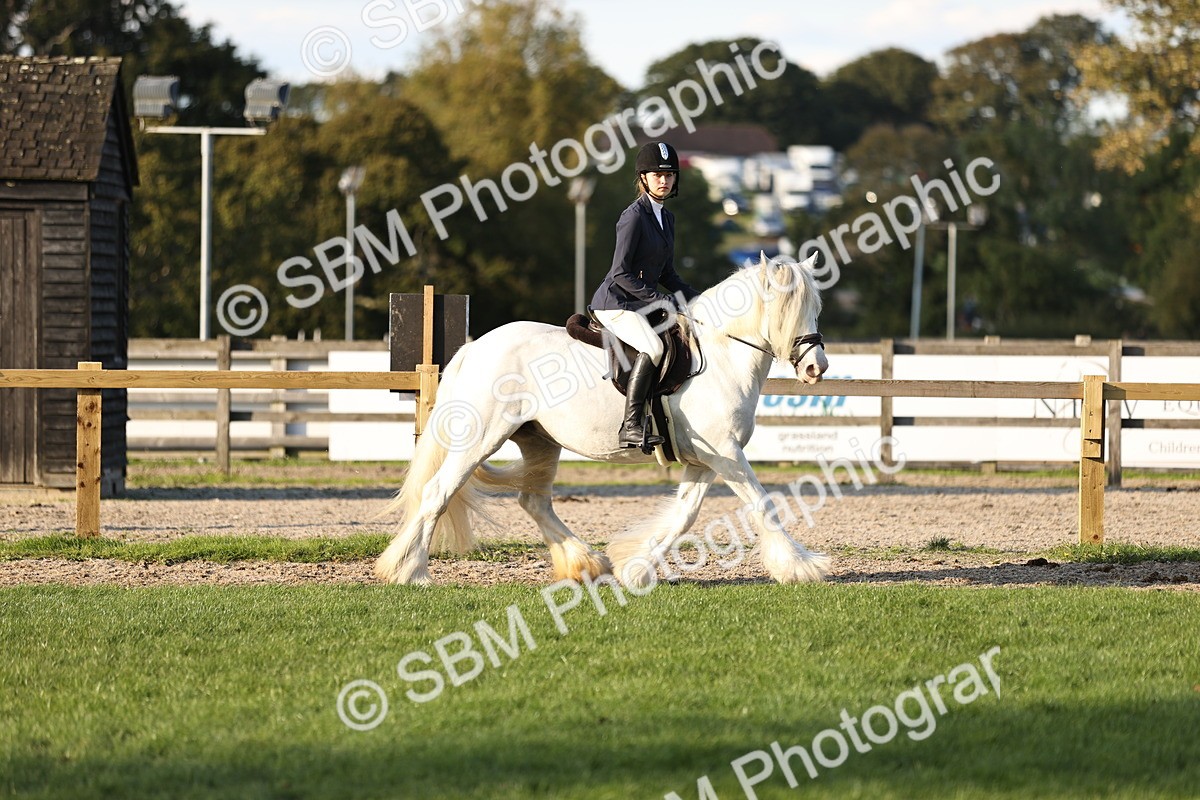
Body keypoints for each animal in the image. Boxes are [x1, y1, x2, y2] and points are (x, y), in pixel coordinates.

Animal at [374, 253, 831, 587]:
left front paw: (636, 568)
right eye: (788, 309)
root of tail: (475, 346)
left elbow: (684, 515)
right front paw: (800, 566)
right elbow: (762, 503)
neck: (719, 355)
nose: (816, 368)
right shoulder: (726, 454)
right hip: (482, 438)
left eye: (816, 309)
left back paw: (588, 563)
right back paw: (410, 572)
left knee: (534, 502)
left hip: (539, 442)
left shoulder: (706, 460)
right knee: (438, 492)